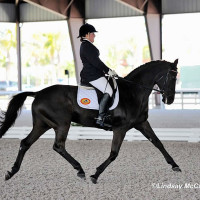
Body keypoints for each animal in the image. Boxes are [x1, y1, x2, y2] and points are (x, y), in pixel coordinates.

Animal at [0, 58, 181, 184]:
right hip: (62, 124)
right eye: (172, 77)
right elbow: (114, 153)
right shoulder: (120, 128)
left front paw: (175, 165)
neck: (133, 92)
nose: (170, 99)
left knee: (25, 143)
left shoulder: (142, 124)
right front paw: (96, 174)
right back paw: (80, 170)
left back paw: (11, 172)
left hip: (42, 124)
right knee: (58, 146)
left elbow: (158, 143)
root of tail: (38, 93)